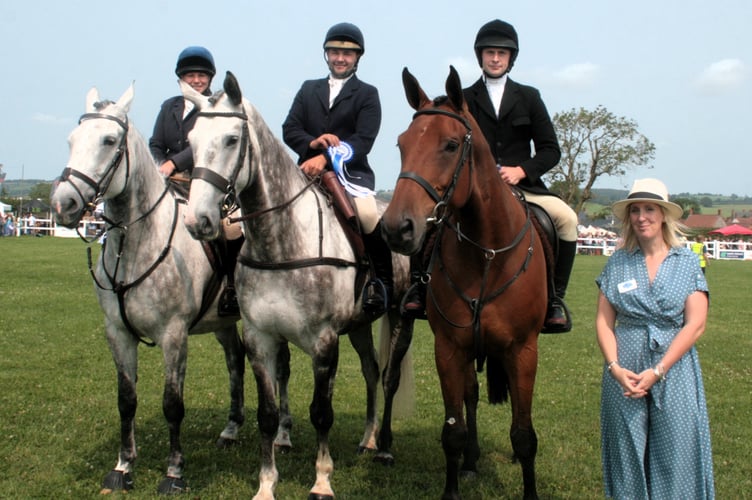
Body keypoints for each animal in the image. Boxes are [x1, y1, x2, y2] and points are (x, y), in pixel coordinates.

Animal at [51, 84, 256, 494]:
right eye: (72, 140)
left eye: (109, 140)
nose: (63, 203)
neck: (137, 245)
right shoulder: (117, 333)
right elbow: (126, 399)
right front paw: (123, 466)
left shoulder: (173, 335)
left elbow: (172, 404)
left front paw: (174, 472)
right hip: (223, 323)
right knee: (235, 360)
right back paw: (230, 429)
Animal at [184, 71, 418, 500]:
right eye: (190, 140)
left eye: (231, 139)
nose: (198, 221)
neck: (280, 241)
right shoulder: (260, 338)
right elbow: (267, 413)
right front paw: (266, 484)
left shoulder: (323, 342)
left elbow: (321, 412)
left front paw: (322, 480)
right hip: (358, 326)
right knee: (371, 370)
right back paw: (368, 439)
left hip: (401, 317)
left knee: (390, 376)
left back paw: (384, 447)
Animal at [382, 67, 548, 500]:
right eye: (401, 144)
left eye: (451, 145)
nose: (396, 229)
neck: (487, 253)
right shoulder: (449, 349)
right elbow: (452, 431)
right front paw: (452, 488)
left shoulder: (523, 351)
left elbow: (524, 435)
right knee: (394, 379)